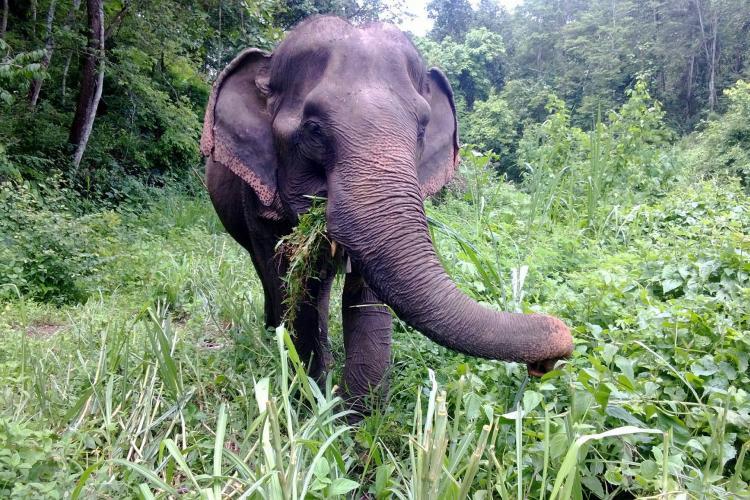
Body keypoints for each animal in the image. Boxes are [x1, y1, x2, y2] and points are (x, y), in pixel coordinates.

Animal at [200, 16, 573, 415]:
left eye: (422, 128)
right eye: (313, 130)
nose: (548, 361)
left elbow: (365, 290)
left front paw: (355, 415)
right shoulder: (257, 197)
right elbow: (291, 283)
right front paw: (311, 402)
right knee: (268, 273)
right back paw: (274, 331)